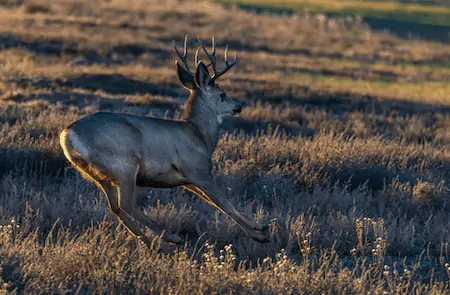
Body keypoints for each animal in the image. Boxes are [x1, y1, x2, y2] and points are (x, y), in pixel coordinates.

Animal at [59, 34, 270, 249]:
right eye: (222, 94)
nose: (239, 106)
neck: (200, 136)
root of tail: (68, 133)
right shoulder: (197, 170)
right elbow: (223, 202)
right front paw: (259, 233)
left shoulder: (186, 179)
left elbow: (214, 202)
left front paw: (260, 228)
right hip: (124, 165)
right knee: (125, 204)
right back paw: (170, 238)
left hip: (98, 174)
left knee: (115, 207)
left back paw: (152, 243)